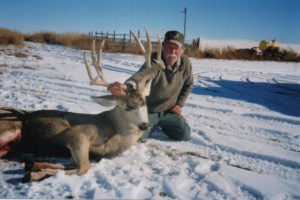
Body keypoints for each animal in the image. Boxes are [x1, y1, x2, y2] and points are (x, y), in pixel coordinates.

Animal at [0, 28, 164, 183]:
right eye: (128, 107)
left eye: (144, 103)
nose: (145, 125)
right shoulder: (78, 134)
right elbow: (83, 167)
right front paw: (34, 174)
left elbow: (70, 165)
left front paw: (33, 166)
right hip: (8, 129)